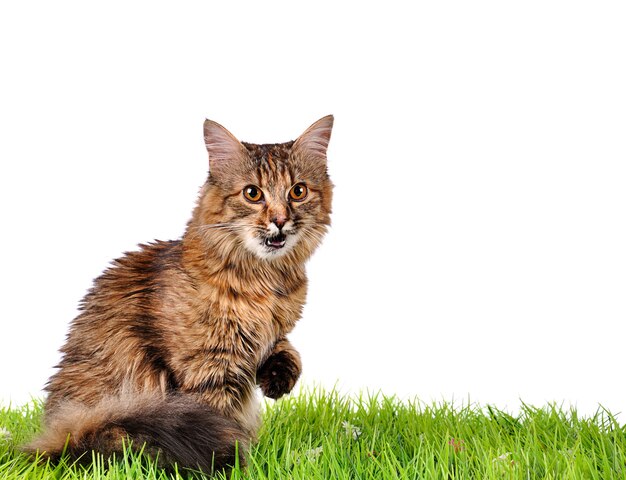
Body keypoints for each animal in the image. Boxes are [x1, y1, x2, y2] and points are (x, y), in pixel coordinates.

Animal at [26, 114, 334, 474]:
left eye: (298, 191)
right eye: (253, 194)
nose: (281, 220)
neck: (265, 280)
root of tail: (60, 434)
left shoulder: (270, 338)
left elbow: (289, 353)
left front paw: (277, 382)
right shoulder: (207, 369)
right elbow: (222, 426)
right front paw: (236, 467)